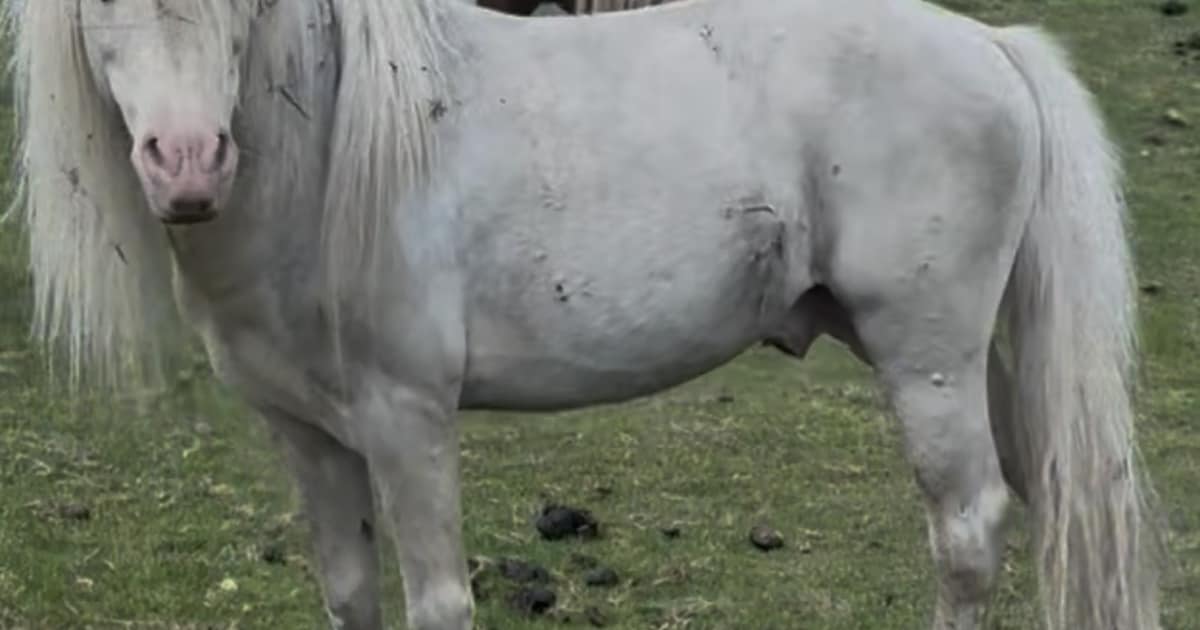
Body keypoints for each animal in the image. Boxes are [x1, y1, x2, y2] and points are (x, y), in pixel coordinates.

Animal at [7, 1, 1163, 629]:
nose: (187, 162)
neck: (331, 147)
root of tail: (992, 44)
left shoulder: (406, 420)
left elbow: (437, 599)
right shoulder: (308, 436)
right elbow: (351, 594)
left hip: (928, 359)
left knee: (966, 531)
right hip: (978, 357)